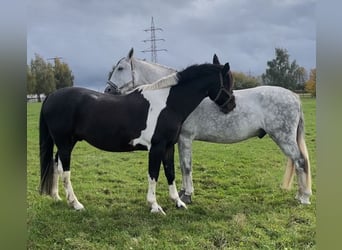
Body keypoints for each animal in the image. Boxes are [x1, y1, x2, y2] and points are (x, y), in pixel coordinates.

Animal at [38, 63, 235, 214]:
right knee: (65, 170)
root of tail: (51, 96)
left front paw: (178, 202)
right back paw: (76, 204)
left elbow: (170, 173)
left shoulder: (168, 146)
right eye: (227, 82)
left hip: (67, 143)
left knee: (56, 164)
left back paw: (56, 197)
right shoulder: (156, 147)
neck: (168, 104)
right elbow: (154, 175)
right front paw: (155, 206)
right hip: (65, 143)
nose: (231, 105)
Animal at [105, 48, 312, 205]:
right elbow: (182, 166)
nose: (107, 90)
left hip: (283, 138)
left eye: (121, 68)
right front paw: (183, 192)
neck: (176, 98)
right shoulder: (178, 141)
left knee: (301, 161)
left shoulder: (185, 138)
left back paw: (304, 197)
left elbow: (186, 166)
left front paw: (187, 195)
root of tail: (294, 96)